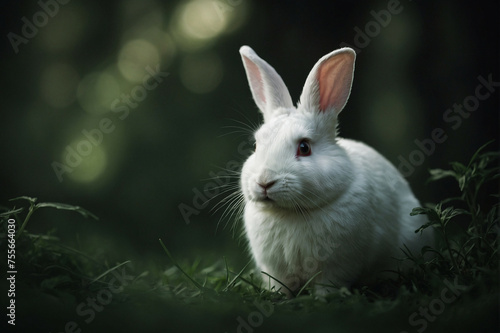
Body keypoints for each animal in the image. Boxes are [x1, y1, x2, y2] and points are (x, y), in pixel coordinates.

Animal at [238, 44, 434, 296]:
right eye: (255, 146)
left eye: (304, 147)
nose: (264, 182)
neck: (292, 213)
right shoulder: (275, 269)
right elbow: (280, 285)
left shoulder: (338, 265)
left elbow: (328, 284)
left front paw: (323, 299)